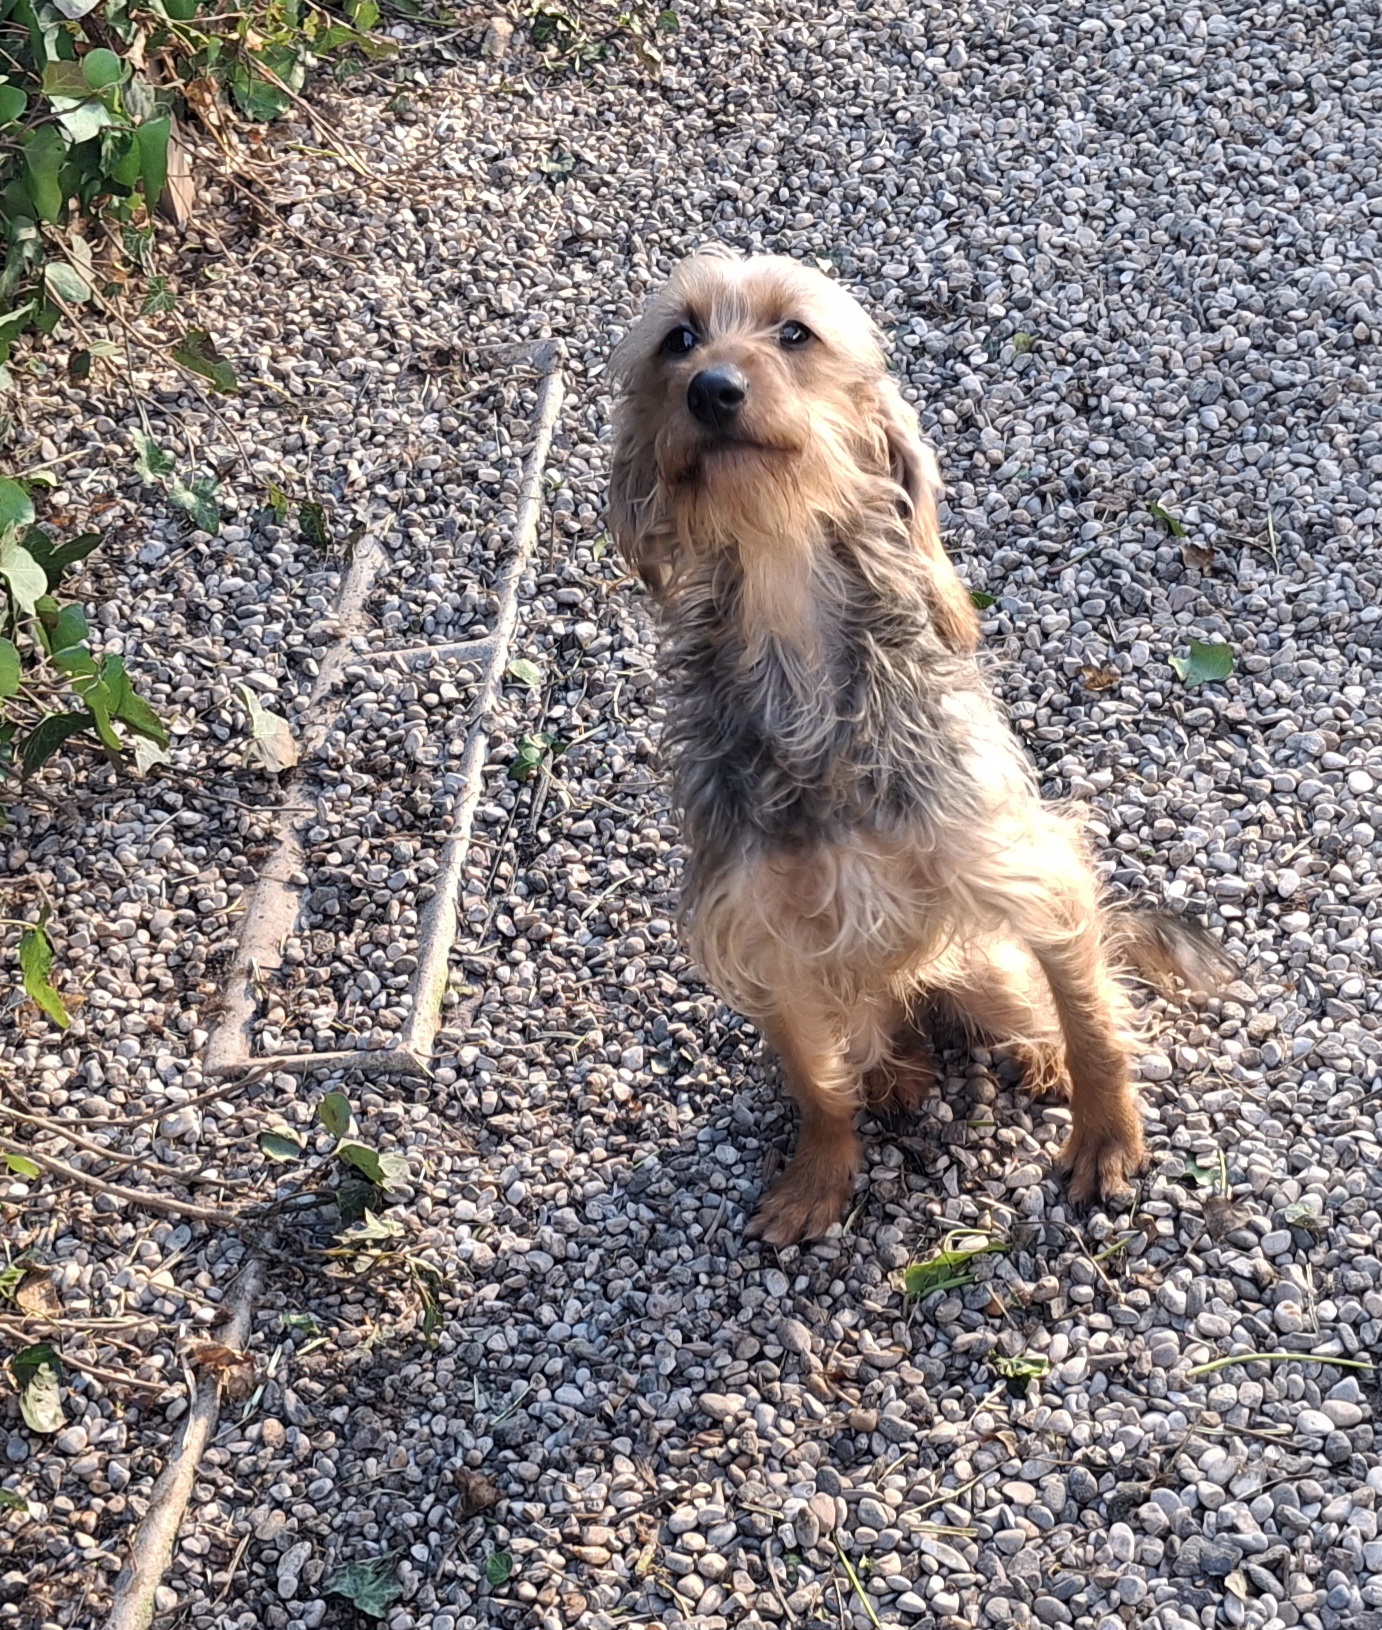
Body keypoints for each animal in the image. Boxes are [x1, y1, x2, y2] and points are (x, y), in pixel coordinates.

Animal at [607, 249, 1232, 1246]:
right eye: (679, 339)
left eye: (795, 332)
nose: (712, 388)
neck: (793, 643)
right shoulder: (765, 941)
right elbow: (813, 1080)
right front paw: (819, 1174)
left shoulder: (1030, 870)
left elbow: (1093, 1017)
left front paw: (1105, 1135)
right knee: (873, 1034)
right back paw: (896, 1074)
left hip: (986, 966)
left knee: (1048, 1001)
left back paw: (1037, 1059)